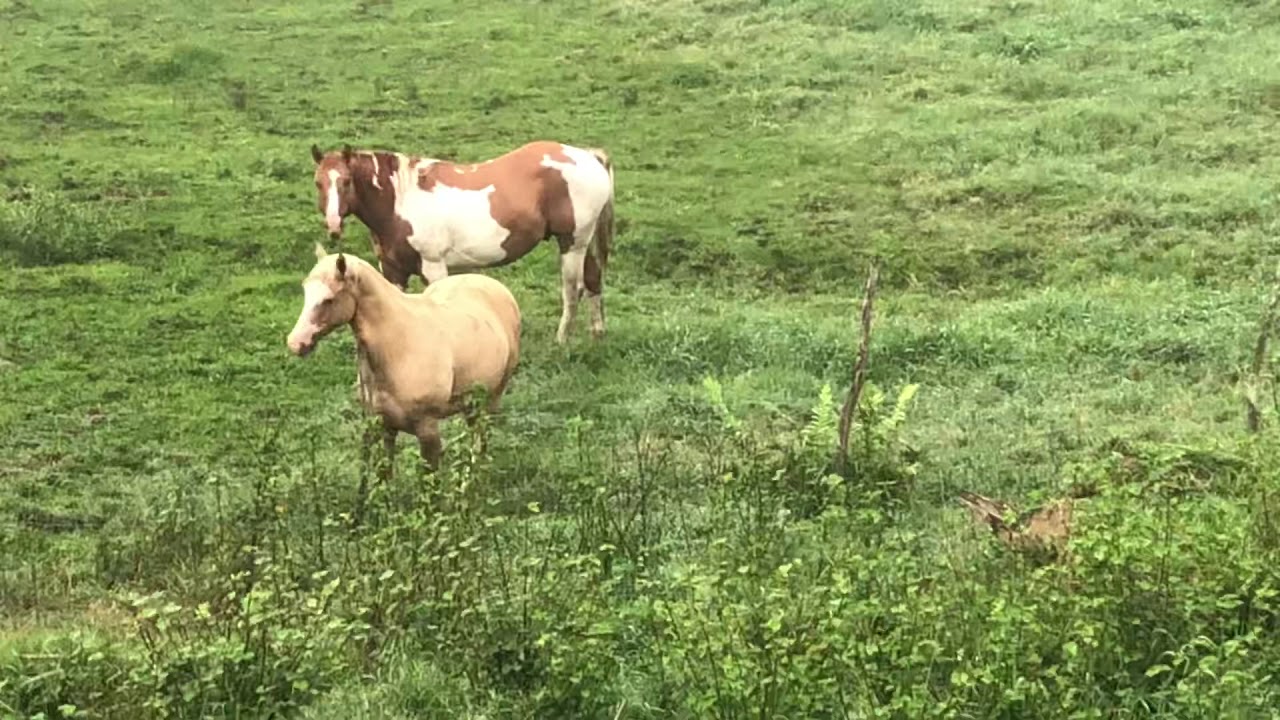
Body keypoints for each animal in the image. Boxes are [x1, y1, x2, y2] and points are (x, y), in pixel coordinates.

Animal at [286, 243, 521, 477]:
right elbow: (384, 474)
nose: (295, 342)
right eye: (305, 291)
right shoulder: (383, 425)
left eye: (328, 299)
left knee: (481, 441)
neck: (399, 346)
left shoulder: (427, 429)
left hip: (491, 399)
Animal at [309, 140, 614, 344]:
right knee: (593, 279)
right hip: (583, 243)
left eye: (346, 181)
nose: (333, 226)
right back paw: (597, 333)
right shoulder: (393, 271)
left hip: (572, 243)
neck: (401, 200)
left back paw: (561, 340)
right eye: (318, 183)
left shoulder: (434, 268)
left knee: (572, 290)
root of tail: (590, 156)